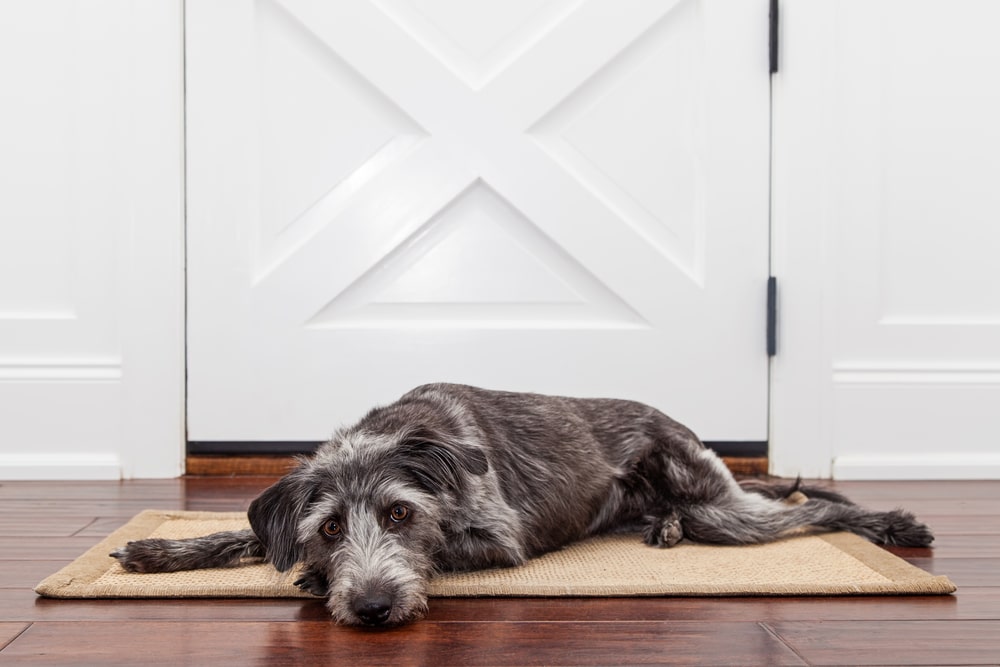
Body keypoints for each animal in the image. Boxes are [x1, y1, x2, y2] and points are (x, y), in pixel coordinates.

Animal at [109, 384, 928, 628]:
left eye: (401, 515)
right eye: (331, 525)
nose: (372, 608)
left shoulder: (501, 541)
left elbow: (451, 547)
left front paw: (315, 581)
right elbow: (241, 536)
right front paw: (156, 551)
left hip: (720, 508)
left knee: (808, 509)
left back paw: (889, 523)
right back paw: (660, 526)